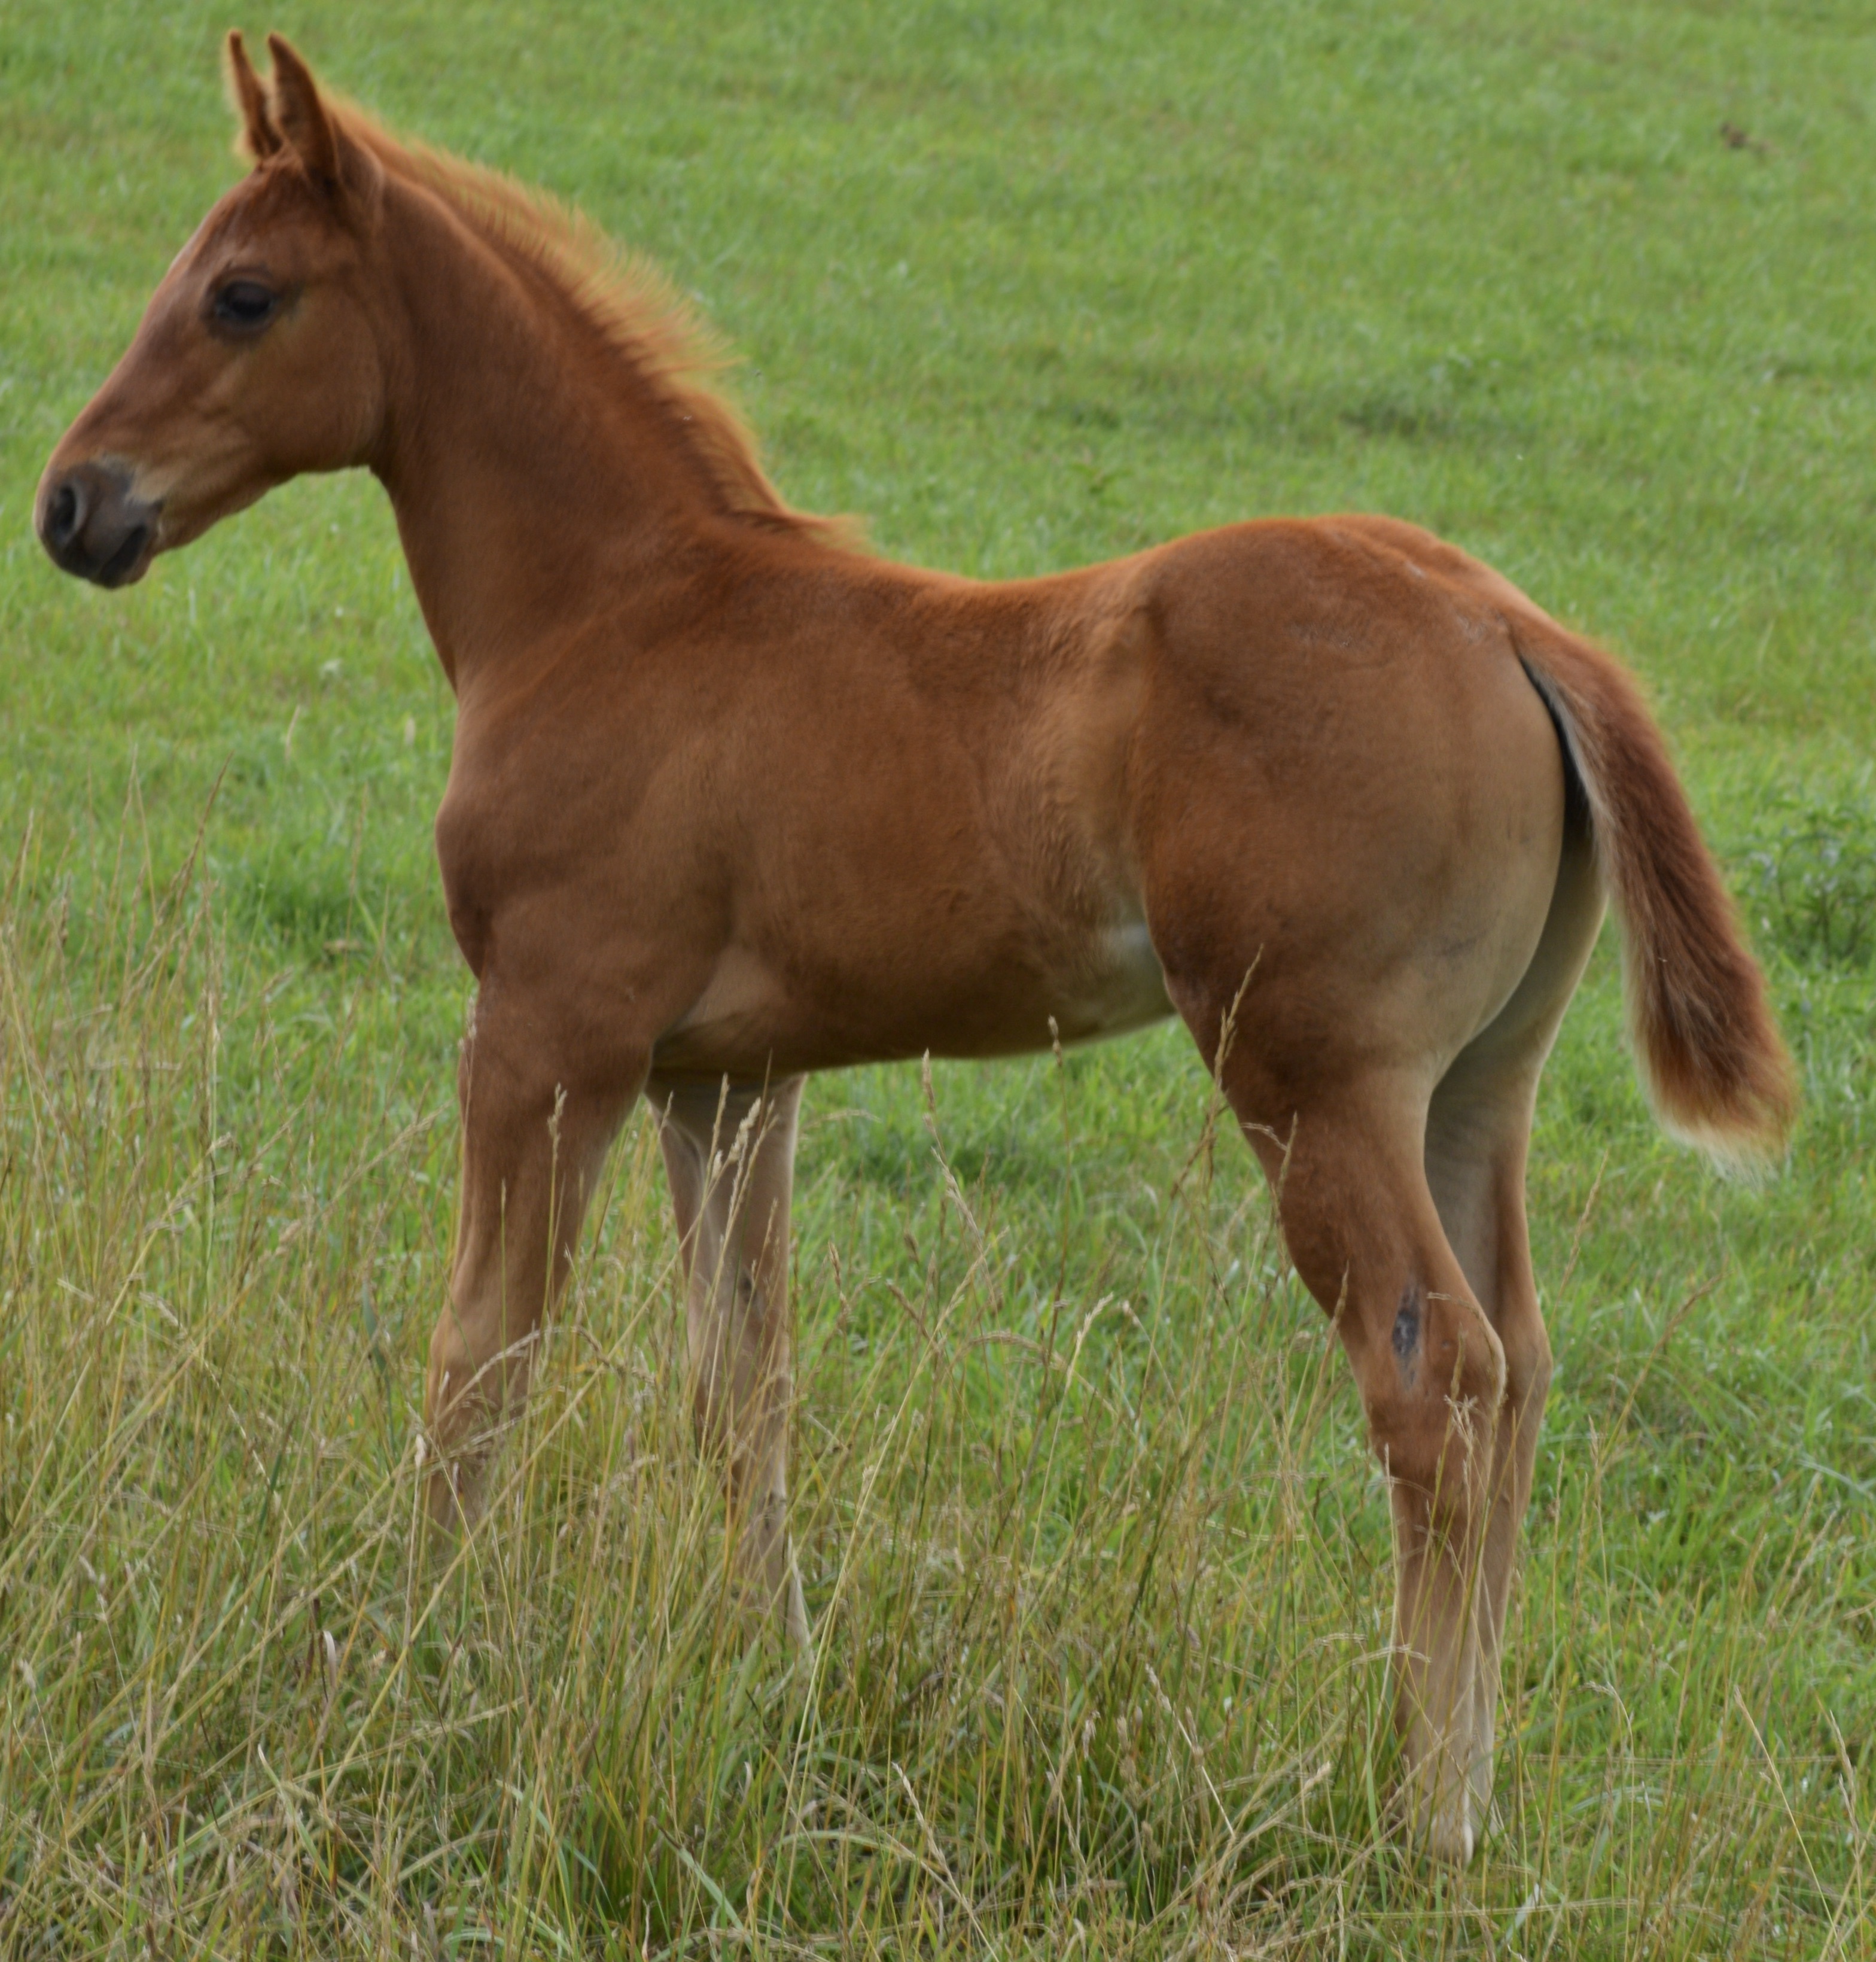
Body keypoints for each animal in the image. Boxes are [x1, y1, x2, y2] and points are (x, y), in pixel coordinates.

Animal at [36, 34, 1793, 1866]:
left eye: (242, 294)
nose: (73, 504)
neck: (615, 612)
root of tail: (1509, 621)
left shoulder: (546, 1035)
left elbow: (482, 1353)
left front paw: (411, 1656)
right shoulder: (725, 1078)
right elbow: (741, 1381)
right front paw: (770, 1680)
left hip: (1314, 1078)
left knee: (1435, 1373)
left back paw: (1423, 1817)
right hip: (1474, 1087)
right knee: (1518, 1369)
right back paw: (1480, 1797)